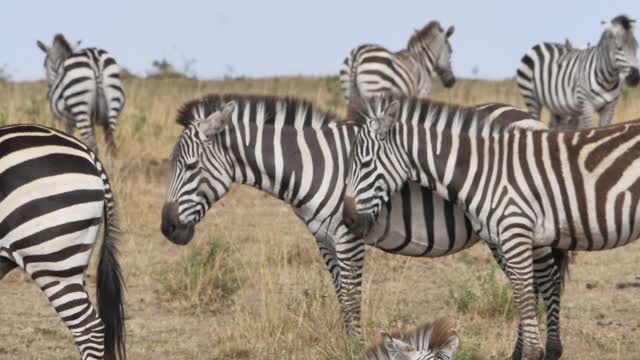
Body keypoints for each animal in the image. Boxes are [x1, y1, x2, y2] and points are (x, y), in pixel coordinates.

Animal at [162, 93, 568, 354]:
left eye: (190, 167)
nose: (168, 229)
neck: (312, 165)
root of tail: (529, 117)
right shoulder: (324, 238)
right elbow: (341, 295)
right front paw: (347, 345)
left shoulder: (347, 235)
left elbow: (353, 295)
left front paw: (355, 348)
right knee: (528, 284)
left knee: (545, 281)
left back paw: (548, 349)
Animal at [342, 93, 640, 360]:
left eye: (364, 164)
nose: (347, 219)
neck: (483, 172)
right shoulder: (508, 237)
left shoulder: (515, 232)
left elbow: (524, 295)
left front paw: (532, 353)